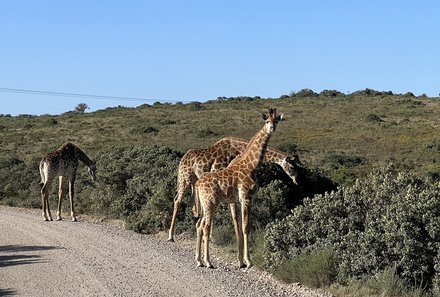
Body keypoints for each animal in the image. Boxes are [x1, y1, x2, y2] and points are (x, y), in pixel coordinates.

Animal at [167, 136, 300, 240]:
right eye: (292, 167)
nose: (297, 181)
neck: (239, 151)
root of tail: (182, 158)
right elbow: (234, 215)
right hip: (184, 179)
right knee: (177, 200)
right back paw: (171, 236)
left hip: (195, 182)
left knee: (193, 204)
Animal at [194, 107, 284, 268]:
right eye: (267, 121)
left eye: (276, 121)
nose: (272, 129)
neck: (252, 166)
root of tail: (197, 184)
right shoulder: (246, 197)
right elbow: (245, 226)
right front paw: (248, 261)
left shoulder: (240, 200)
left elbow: (240, 227)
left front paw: (241, 261)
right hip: (210, 203)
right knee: (206, 227)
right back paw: (208, 261)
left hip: (204, 204)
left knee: (199, 224)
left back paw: (199, 260)